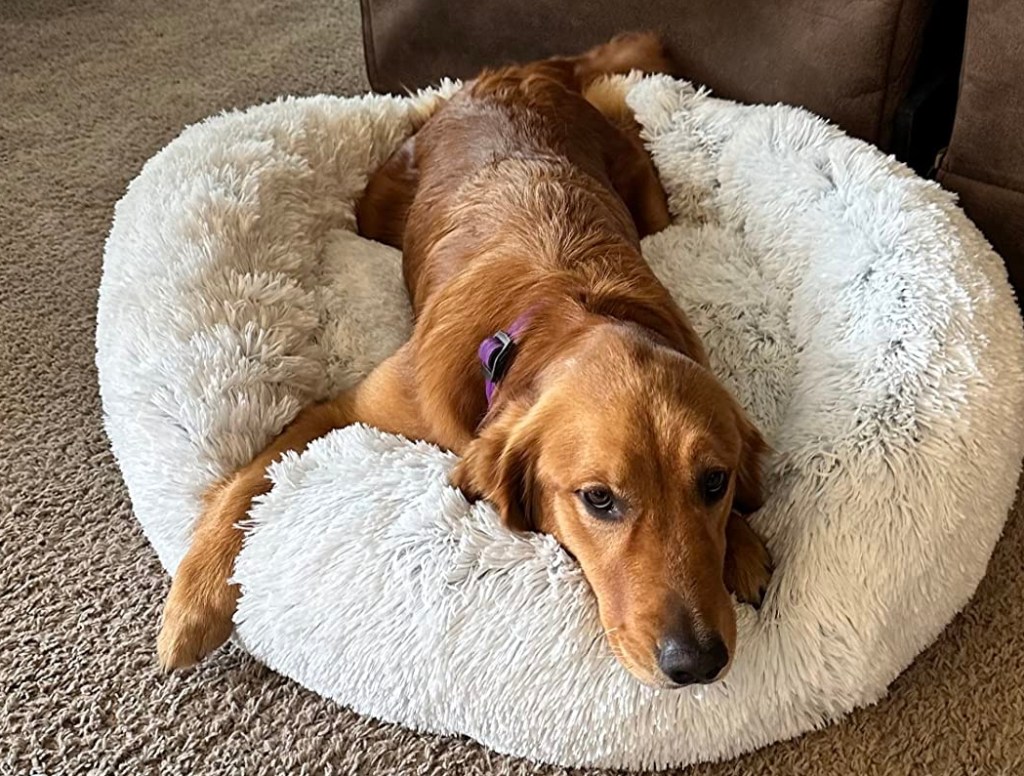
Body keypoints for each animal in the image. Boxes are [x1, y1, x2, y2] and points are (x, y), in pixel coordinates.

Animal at [155, 33, 770, 687]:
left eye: (714, 481)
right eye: (599, 499)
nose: (697, 662)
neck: (560, 314)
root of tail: (518, 73)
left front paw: (742, 544)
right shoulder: (343, 407)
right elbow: (245, 483)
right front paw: (193, 605)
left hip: (647, 198)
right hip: (374, 208)